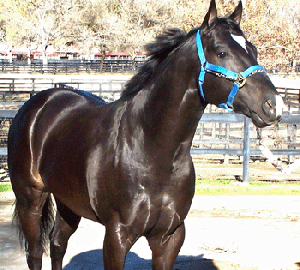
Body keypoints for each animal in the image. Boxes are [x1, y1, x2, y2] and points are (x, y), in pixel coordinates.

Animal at [7, 1, 284, 268]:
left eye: (254, 50)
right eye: (222, 52)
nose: (274, 105)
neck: (151, 148)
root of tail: (38, 104)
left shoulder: (169, 236)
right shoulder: (117, 236)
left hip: (69, 202)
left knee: (57, 245)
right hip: (30, 200)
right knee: (35, 254)